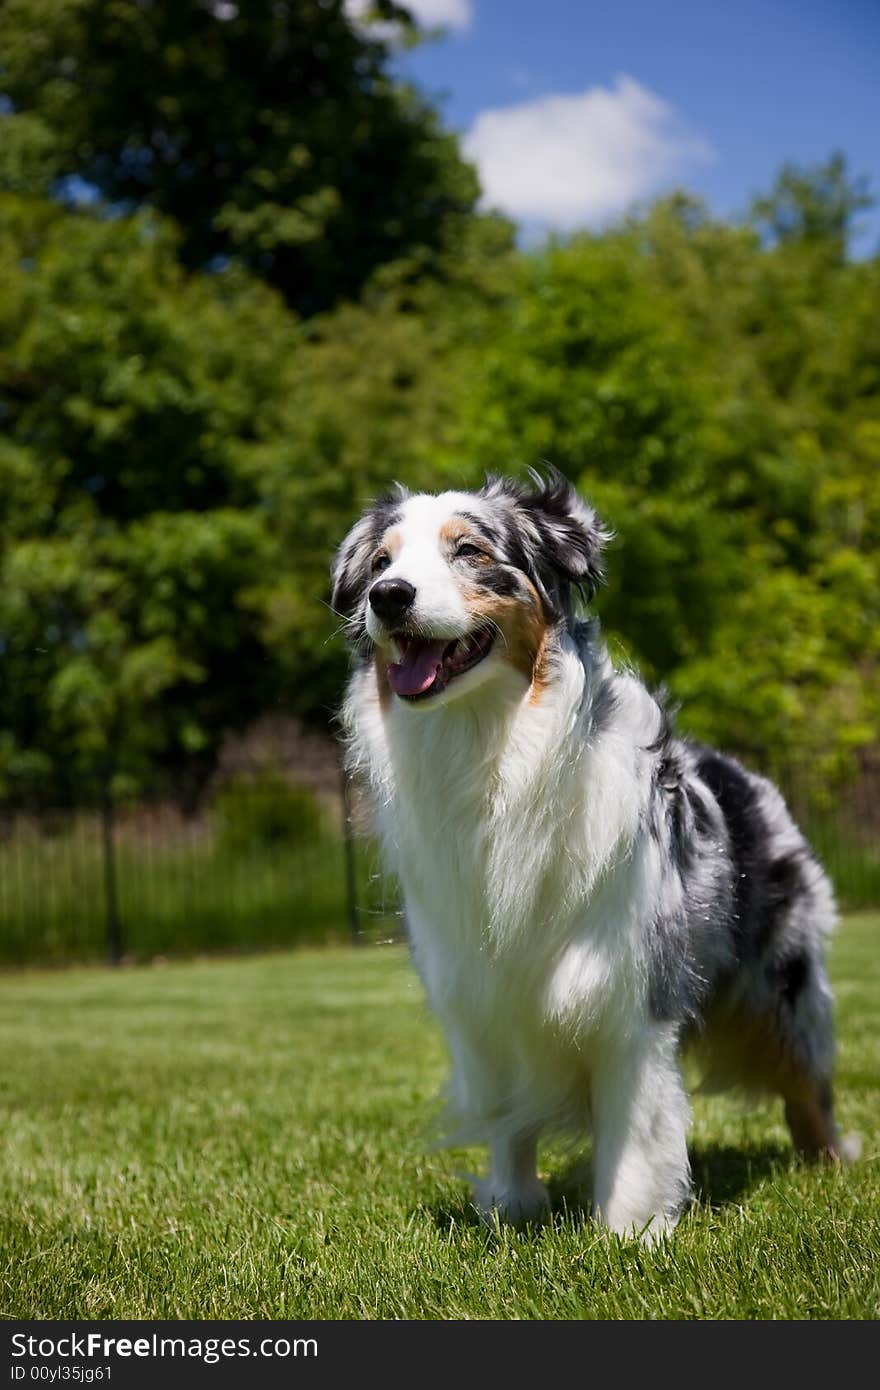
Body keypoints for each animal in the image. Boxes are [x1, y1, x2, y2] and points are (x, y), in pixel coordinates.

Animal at [330, 469, 850, 1239]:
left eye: (469, 551)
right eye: (381, 563)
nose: (388, 597)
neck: (489, 748)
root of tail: (747, 775)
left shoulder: (629, 987)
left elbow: (634, 1124)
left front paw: (629, 1232)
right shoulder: (480, 998)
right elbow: (507, 1118)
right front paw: (512, 1209)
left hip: (783, 982)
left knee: (808, 1082)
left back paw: (831, 1166)